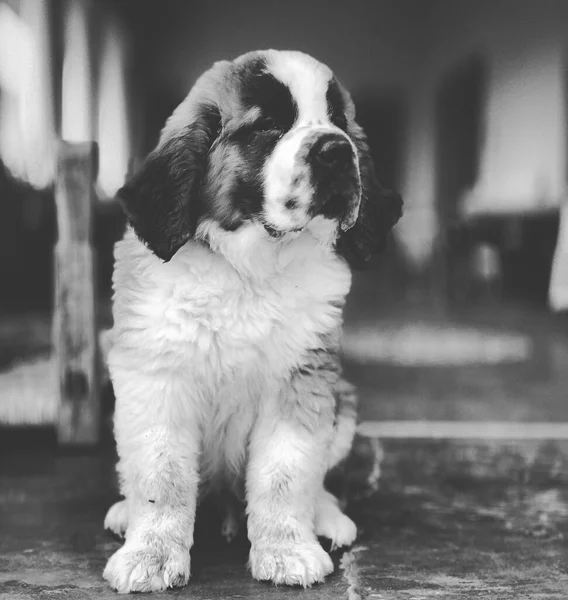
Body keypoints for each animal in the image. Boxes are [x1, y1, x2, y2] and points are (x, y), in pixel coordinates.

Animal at [103, 49, 404, 592]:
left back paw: (327, 519)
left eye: (338, 120)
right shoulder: (156, 377)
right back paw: (123, 514)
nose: (337, 150)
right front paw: (150, 554)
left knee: (318, 481)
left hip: (343, 399)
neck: (249, 271)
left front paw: (287, 551)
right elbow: (162, 475)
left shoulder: (302, 380)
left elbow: (286, 472)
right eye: (269, 126)